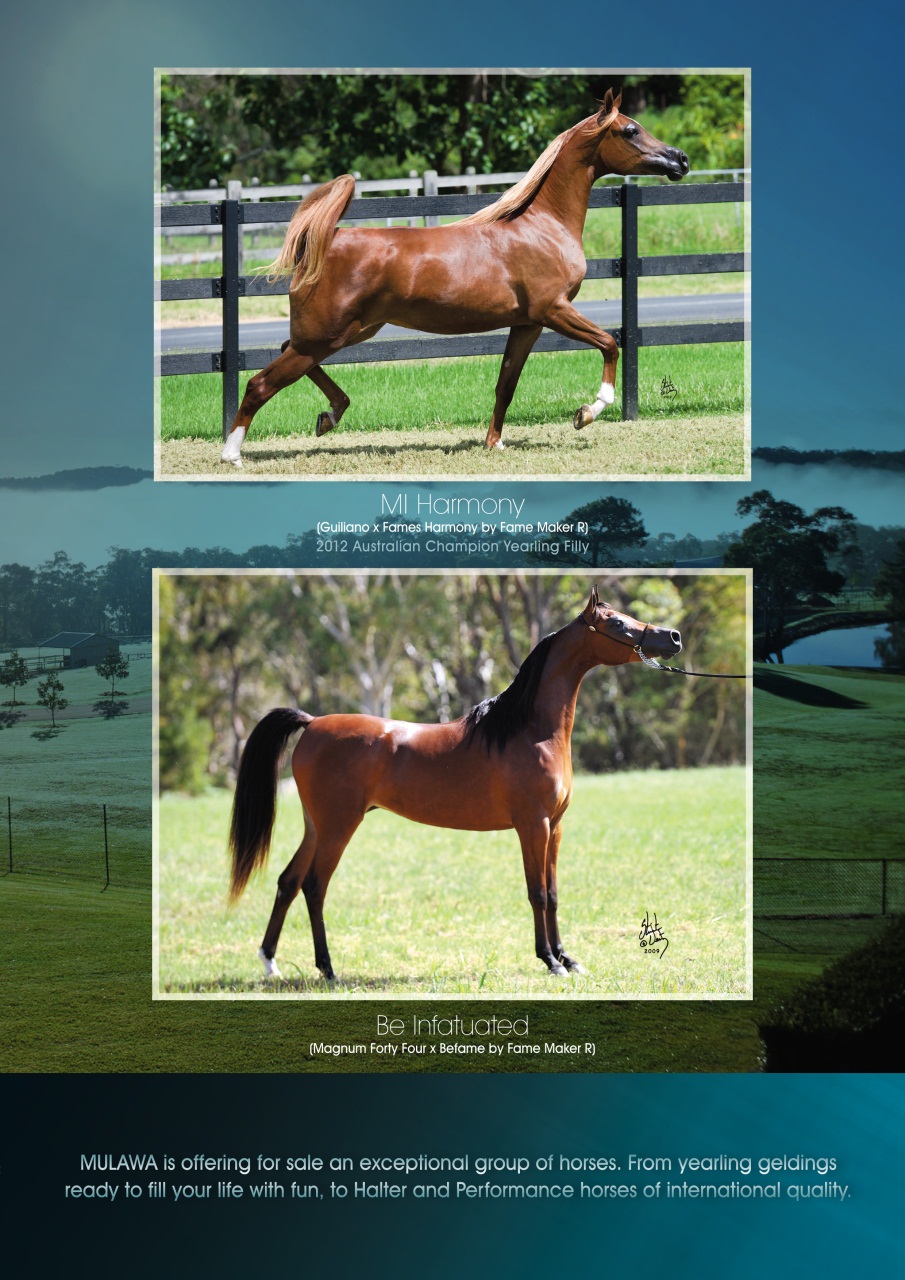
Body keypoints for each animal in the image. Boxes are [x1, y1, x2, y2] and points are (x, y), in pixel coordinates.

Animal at [220, 90, 688, 466]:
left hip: (346, 332)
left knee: (288, 357)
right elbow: (610, 342)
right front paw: (587, 412)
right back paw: (232, 454)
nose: (680, 159)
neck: (541, 226)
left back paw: (328, 416)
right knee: (260, 382)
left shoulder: (527, 323)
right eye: (630, 130)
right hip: (326, 334)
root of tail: (322, 241)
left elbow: (506, 384)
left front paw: (494, 443)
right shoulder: (554, 310)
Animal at [227, 586, 682, 981]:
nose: (673, 637)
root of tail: (313, 722)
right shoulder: (532, 825)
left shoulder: (555, 826)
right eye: (617, 623)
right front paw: (550, 961)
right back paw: (328, 969)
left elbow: (553, 893)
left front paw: (568, 959)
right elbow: (536, 892)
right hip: (339, 826)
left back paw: (270, 962)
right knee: (314, 886)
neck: (530, 731)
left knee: (288, 882)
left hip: (316, 826)